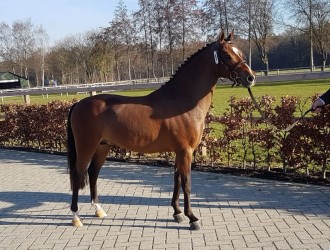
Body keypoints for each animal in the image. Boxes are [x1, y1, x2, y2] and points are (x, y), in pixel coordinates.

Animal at [67, 30, 255, 230]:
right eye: (226, 55)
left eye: (240, 53)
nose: (250, 77)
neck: (181, 100)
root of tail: (79, 104)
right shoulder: (185, 151)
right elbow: (186, 183)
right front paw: (192, 218)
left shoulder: (180, 151)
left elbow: (177, 180)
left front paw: (177, 213)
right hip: (86, 146)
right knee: (78, 175)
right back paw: (76, 217)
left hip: (103, 146)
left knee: (93, 173)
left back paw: (99, 210)